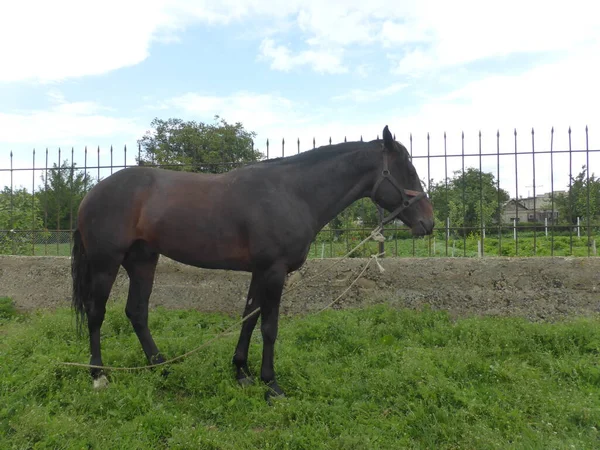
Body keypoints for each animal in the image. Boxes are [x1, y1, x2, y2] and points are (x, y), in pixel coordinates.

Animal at [72, 124, 434, 400]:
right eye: (408, 170)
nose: (428, 222)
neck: (293, 192)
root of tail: (92, 193)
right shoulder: (274, 271)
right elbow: (269, 327)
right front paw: (271, 384)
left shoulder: (260, 271)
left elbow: (249, 317)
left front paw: (241, 371)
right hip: (106, 264)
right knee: (96, 312)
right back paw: (98, 375)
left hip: (143, 261)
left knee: (137, 312)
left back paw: (160, 366)